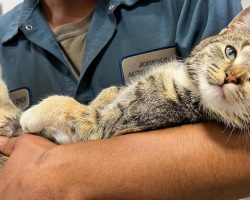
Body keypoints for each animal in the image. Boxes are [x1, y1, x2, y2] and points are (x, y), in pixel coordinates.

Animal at [0, 6, 250, 166]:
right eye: (230, 52)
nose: (230, 77)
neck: (184, 81)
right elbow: (109, 92)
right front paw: (102, 97)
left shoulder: (103, 127)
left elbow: (69, 106)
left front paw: (31, 116)